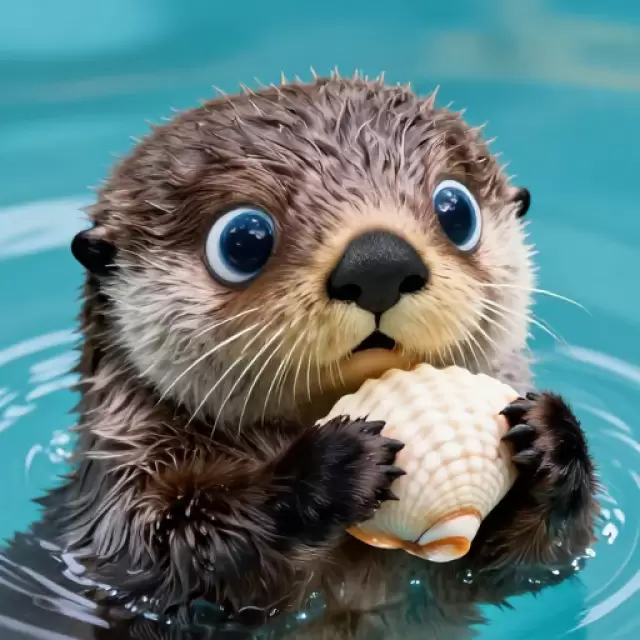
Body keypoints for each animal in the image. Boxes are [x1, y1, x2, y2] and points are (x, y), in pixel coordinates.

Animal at [3, 72, 598, 639]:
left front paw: (551, 435)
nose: (378, 262)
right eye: (243, 240)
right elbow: (180, 549)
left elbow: (534, 564)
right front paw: (333, 466)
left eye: (457, 213)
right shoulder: (121, 514)